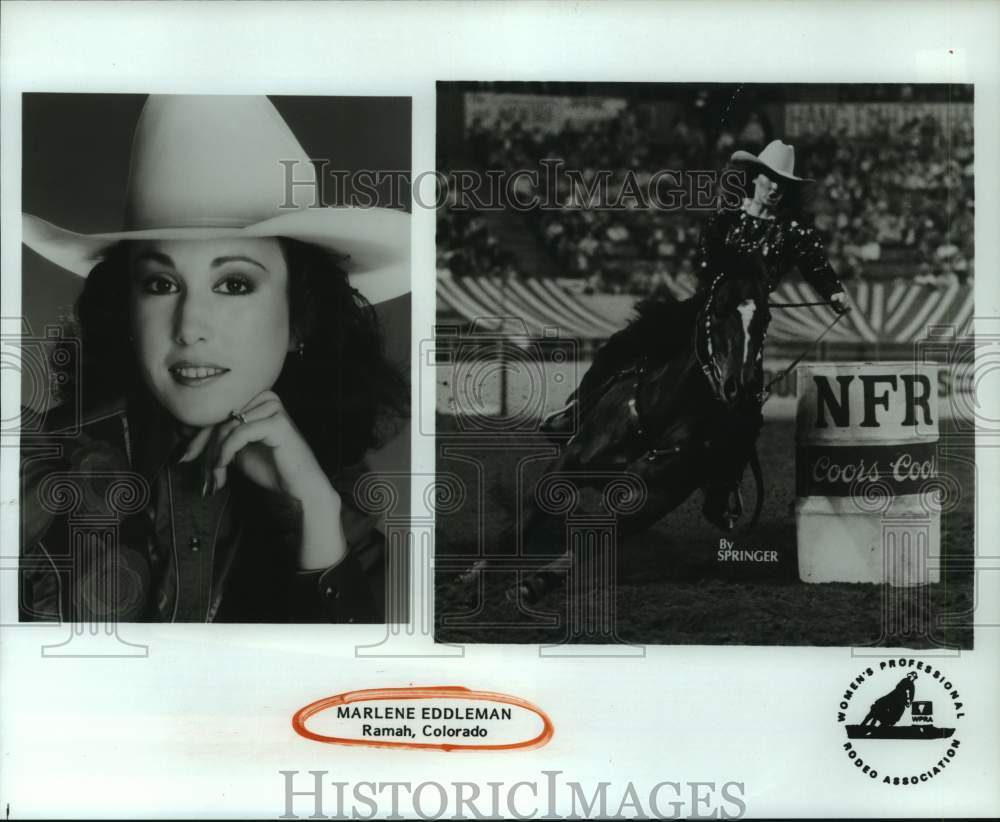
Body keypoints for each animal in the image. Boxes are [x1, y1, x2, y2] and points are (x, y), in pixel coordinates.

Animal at [460, 258, 772, 604]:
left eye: (765, 318)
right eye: (718, 310)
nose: (741, 387)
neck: (655, 416)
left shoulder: (651, 499)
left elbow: (593, 540)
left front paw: (532, 585)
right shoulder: (569, 462)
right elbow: (522, 523)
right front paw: (473, 578)